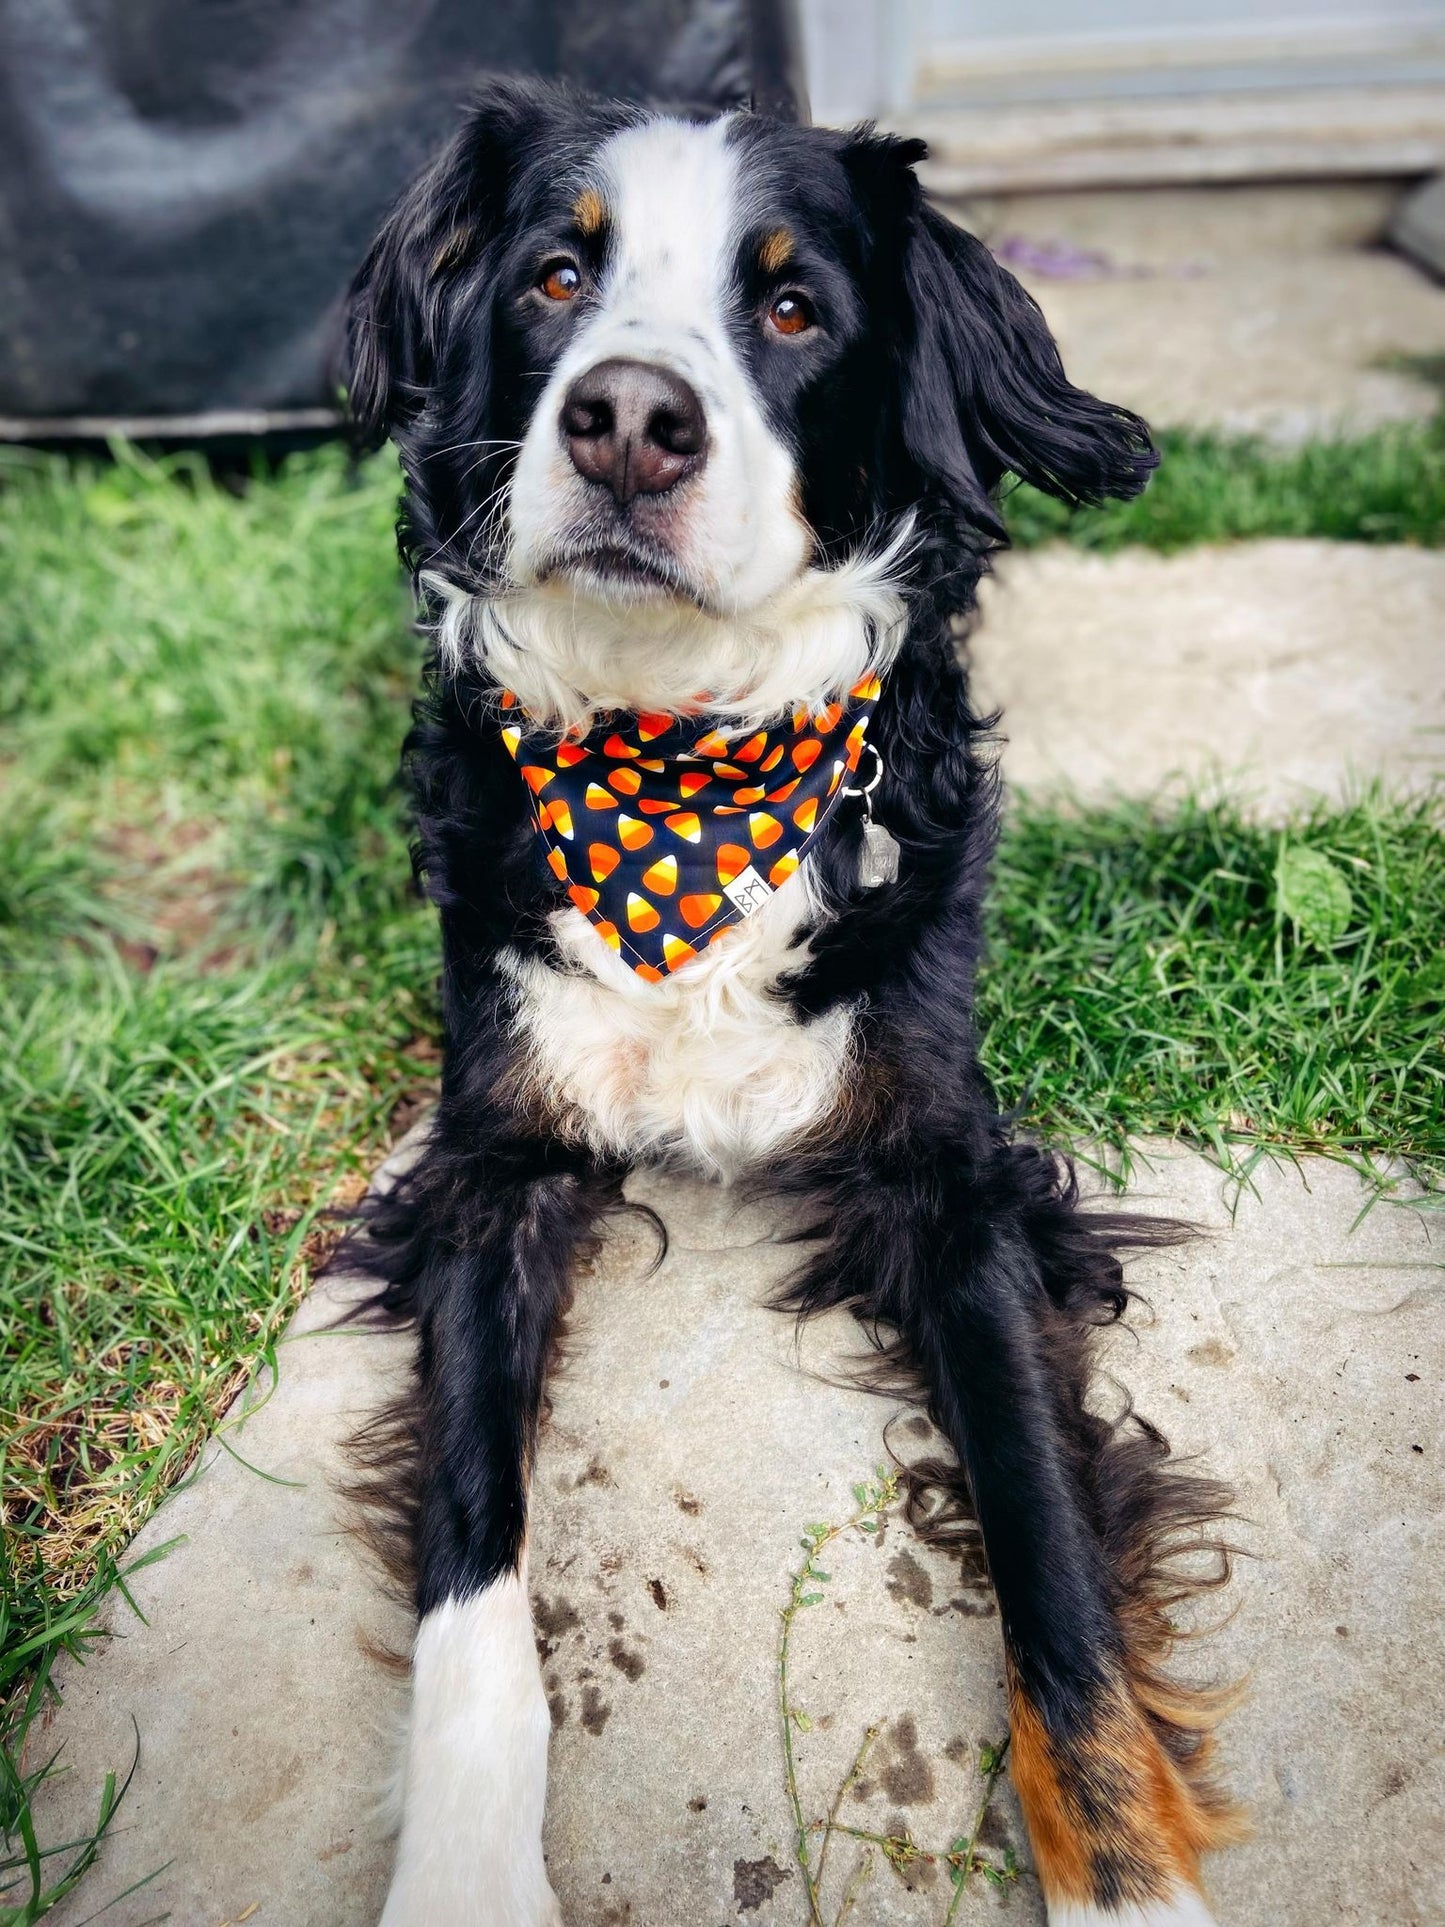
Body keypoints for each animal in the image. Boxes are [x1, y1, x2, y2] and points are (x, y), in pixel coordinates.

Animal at [344, 79, 1240, 1927]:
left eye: (791, 307)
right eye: (554, 279)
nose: (626, 418)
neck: (678, 746)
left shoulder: (953, 1177)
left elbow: (1049, 1549)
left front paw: (1126, 1872)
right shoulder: (490, 1166)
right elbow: (472, 1574)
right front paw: (462, 1876)